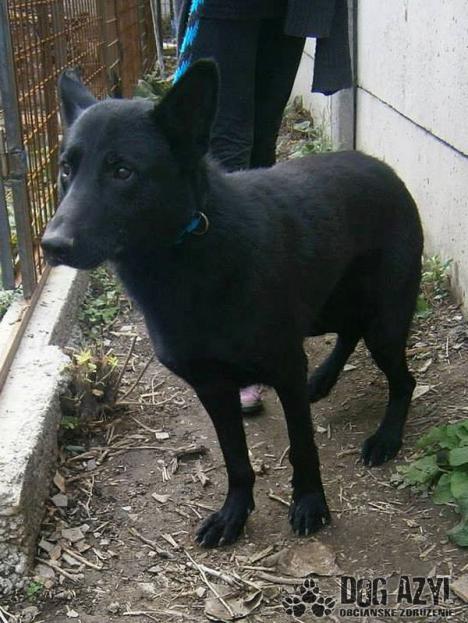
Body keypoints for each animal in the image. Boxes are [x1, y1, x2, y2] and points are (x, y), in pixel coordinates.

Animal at [42, 60, 423, 547]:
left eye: (122, 171)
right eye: (65, 169)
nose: (52, 246)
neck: (185, 257)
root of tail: (384, 168)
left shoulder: (284, 367)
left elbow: (303, 446)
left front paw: (310, 503)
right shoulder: (213, 388)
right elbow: (236, 459)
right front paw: (233, 515)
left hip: (385, 323)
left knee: (403, 378)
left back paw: (386, 437)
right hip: (327, 310)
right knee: (348, 332)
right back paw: (323, 379)